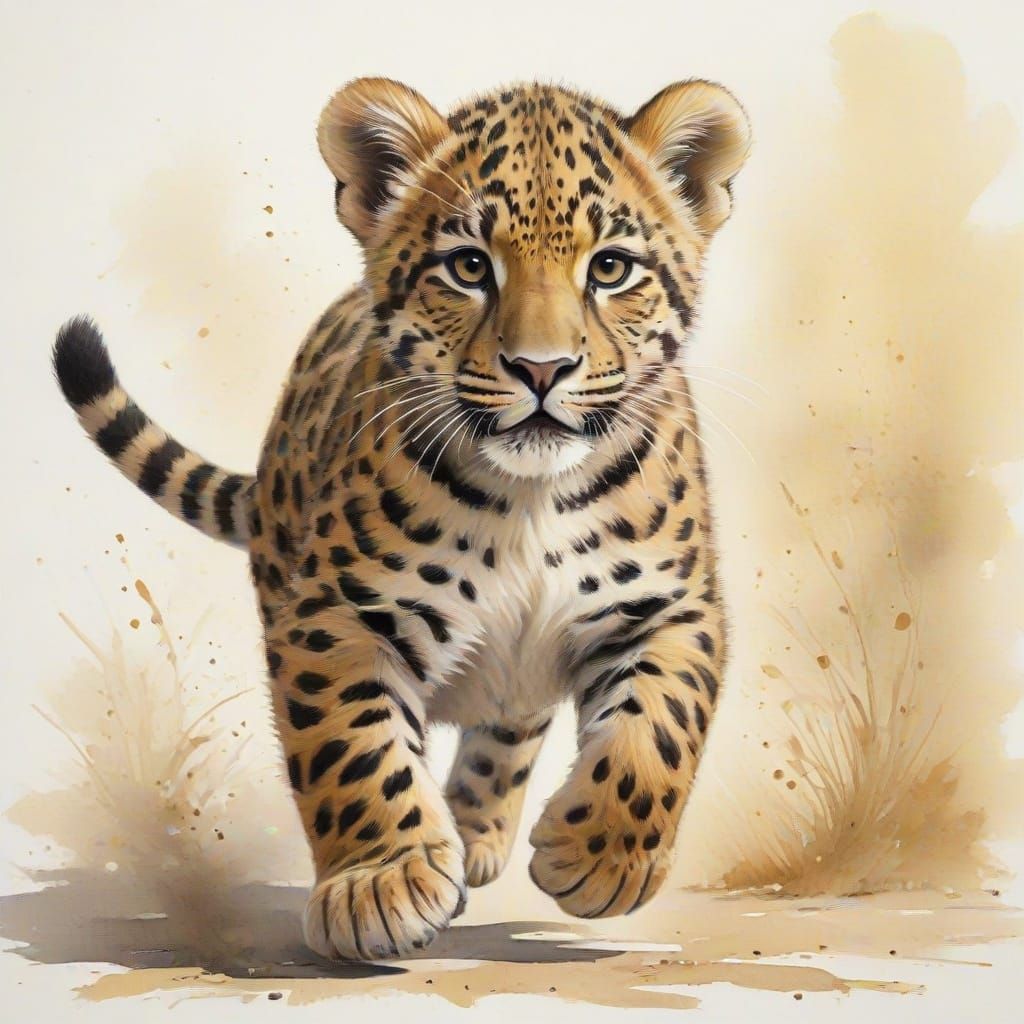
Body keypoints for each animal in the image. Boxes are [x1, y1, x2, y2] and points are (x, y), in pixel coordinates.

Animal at [52, 76, 750, 960]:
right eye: (470, 266)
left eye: (612, 268)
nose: (542, 369)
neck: (532, 504)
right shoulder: (335, 616)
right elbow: (351, 749)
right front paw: (379, 884)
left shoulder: (670, 607)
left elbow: (657, 732)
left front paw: (600, 858)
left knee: (511, 724)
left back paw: (478, 831)